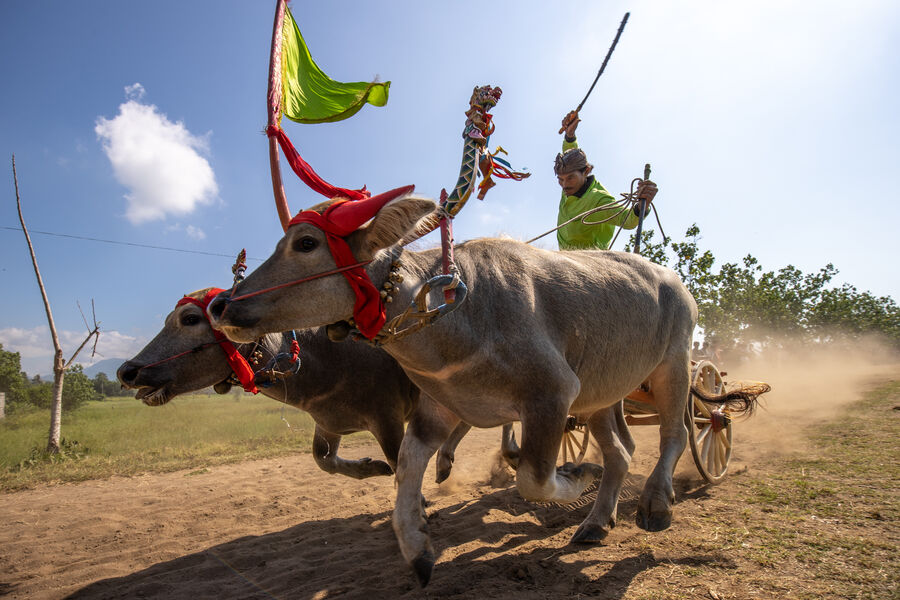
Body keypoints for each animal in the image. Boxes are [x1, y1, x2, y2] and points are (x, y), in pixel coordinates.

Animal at [206, 191, 704, 584]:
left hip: (675, 364)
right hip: (601, 395)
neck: (458, 310)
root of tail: (676, 282)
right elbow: (407, 467)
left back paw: (655, 503)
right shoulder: (437, 409)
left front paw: (578, 474)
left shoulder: (553, 394)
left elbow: (533, 478)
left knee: (675, 432)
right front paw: (418, 548)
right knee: (620, 451)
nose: (221, 305)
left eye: (305, 243)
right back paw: (596, 523)